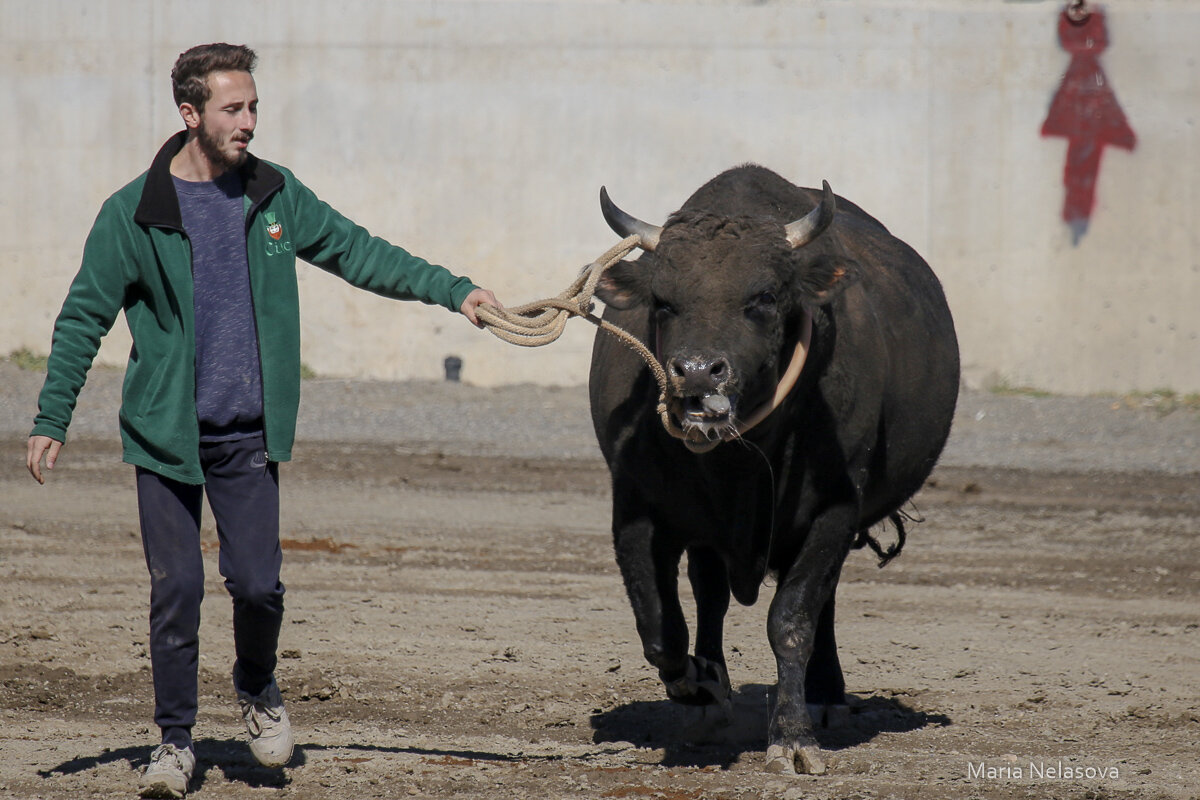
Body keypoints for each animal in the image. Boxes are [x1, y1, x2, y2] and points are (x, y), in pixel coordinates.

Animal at [585, 164, 960, 777]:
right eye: (663, 300)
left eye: (762, 297)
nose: (697, 373)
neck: (737, 460)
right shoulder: (637, 508)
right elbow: (660, 631)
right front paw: (700, 687)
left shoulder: (834, 509)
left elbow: (792, 621)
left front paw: (792, 736)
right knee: (709, 594)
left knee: (821, 603)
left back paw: (825, 695)